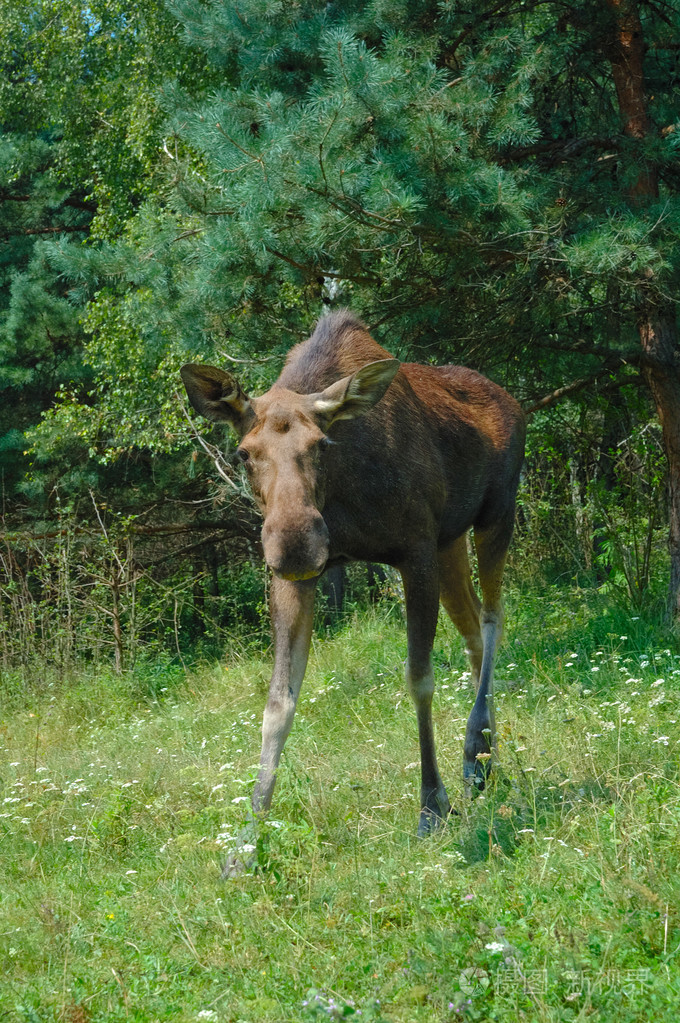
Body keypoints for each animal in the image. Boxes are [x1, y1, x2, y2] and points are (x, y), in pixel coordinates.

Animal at [179, 306, 523, 867]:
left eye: (321, 445)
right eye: (244, 452)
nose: (295, 542)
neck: (343, 491)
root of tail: (512, 400)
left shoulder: (414, 552)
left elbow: (419, 678)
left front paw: (431, 805)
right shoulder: (298, 580)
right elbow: (277, 704)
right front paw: (246, 842)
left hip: (497, 514)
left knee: (494, 616)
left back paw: (475, 750)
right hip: (451, 540)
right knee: (473, 626)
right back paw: (487, 756)